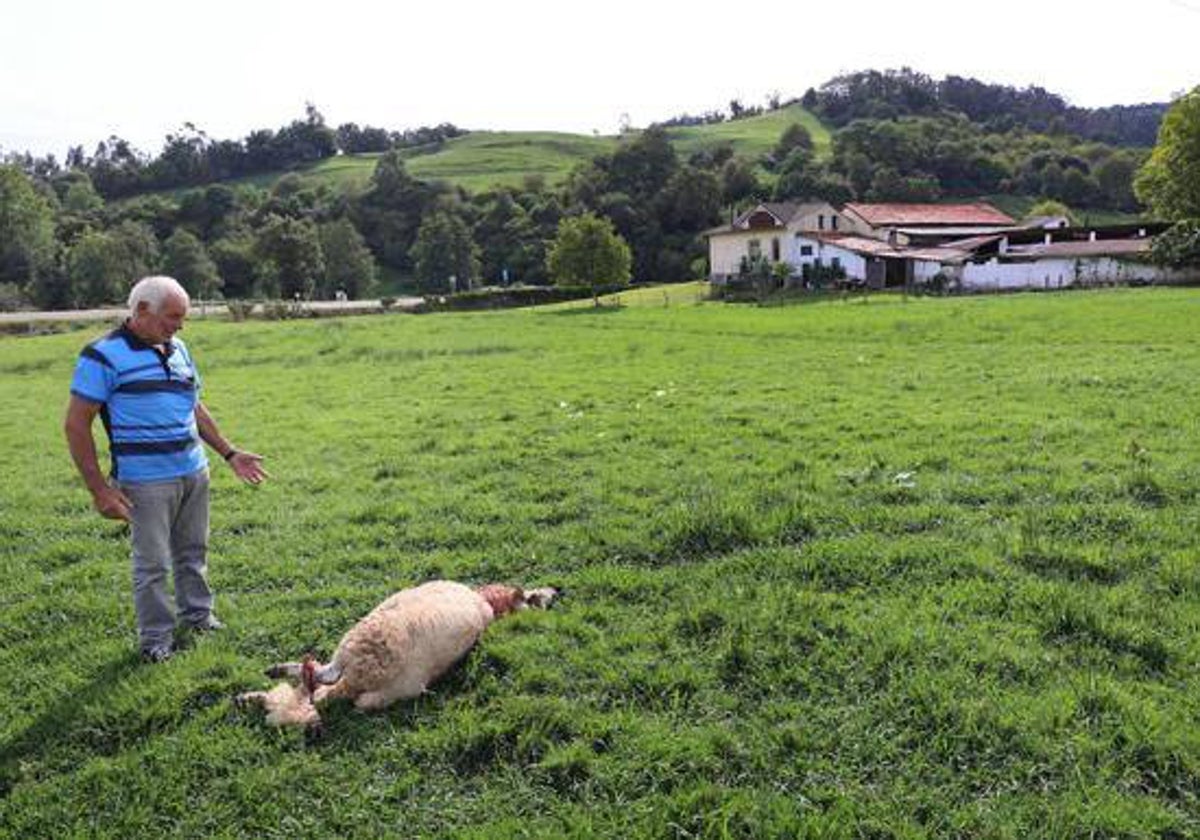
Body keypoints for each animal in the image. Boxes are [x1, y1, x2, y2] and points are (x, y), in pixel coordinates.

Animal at [241, 578, 564, 729]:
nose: (558, 591)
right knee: (320, 683)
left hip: (360, 664)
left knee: (320, 682)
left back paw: (261, 687)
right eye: (536, 599)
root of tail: (359, 673)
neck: (487, 601)